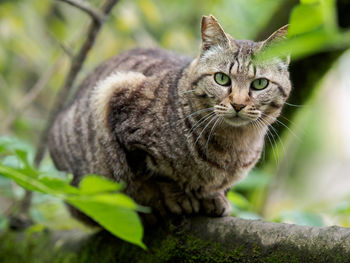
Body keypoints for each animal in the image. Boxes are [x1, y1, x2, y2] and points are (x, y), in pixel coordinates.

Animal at [47, 14, 292, 225]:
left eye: (260, 84)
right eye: (222, 79)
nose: (239, 104)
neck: (233, 146)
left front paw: (214, 197)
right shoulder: (117, 100)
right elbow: (155, 175)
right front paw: (176, 197)